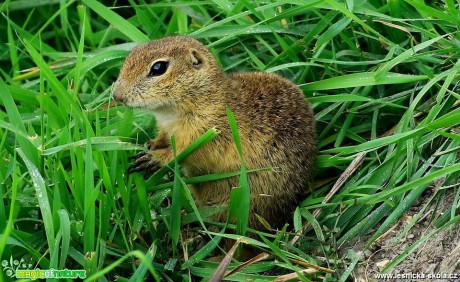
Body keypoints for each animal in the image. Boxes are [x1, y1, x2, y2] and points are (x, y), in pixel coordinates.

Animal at [113, 35, 318, 231]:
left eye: (158, 68)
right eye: (131, 55)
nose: (116, 95)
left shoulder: (208, 133)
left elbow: (186, 152)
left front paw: (155, 157)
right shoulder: (166, 126)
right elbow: (164, 136)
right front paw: (152, 143)